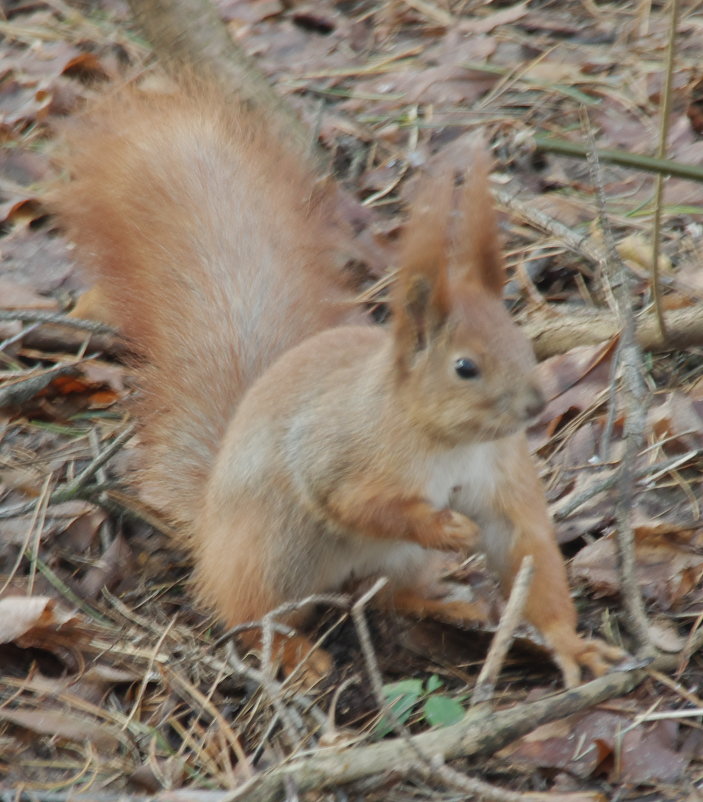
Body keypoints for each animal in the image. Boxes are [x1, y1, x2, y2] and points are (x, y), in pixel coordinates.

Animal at [57, 79, 624, 680]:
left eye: (522, 343)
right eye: (465, 367)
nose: (535, 405)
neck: (447, 441)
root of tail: (210, 526)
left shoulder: (503, 476)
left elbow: (527, 550)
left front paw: (571, 644)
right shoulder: (339, 452)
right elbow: (357, 502)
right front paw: (444, 526)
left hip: (396, 559)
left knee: (386, 593)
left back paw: (443, 603)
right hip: (277, 552)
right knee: (249, 615)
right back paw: (292, 652)